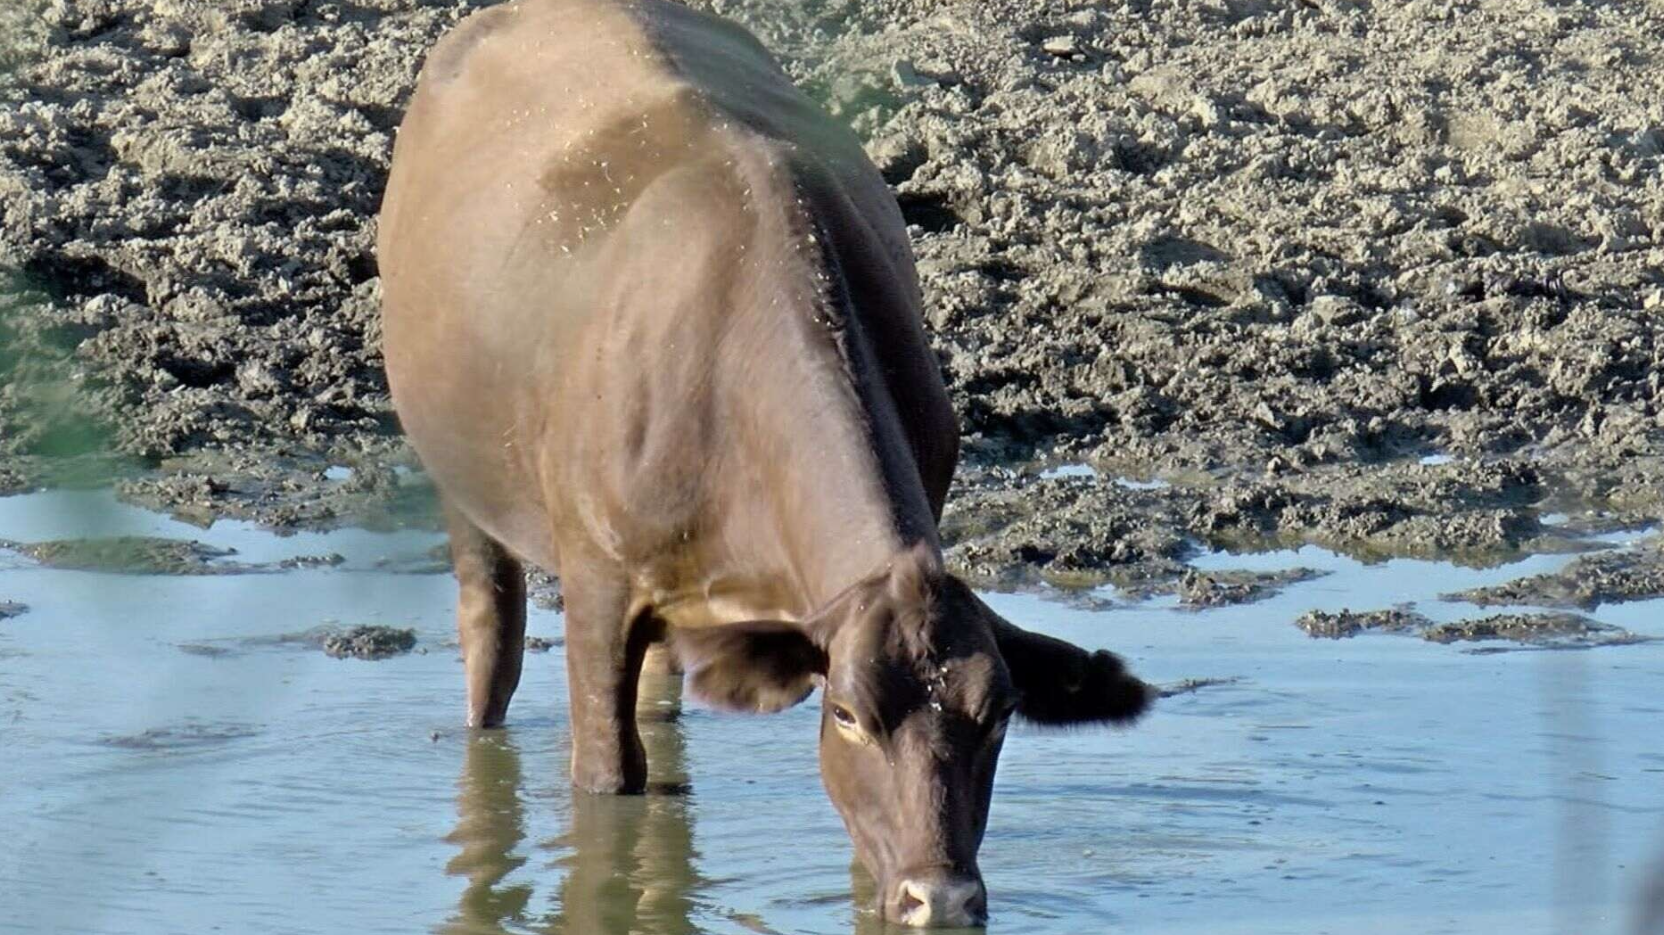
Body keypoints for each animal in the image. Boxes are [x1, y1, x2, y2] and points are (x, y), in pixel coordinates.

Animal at [381, 0, 1151, 918]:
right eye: (849, 712)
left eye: (997, 712)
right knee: (490, 639)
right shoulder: (599, 577)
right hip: (462, 480)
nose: (943, 894)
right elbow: (608, 777)